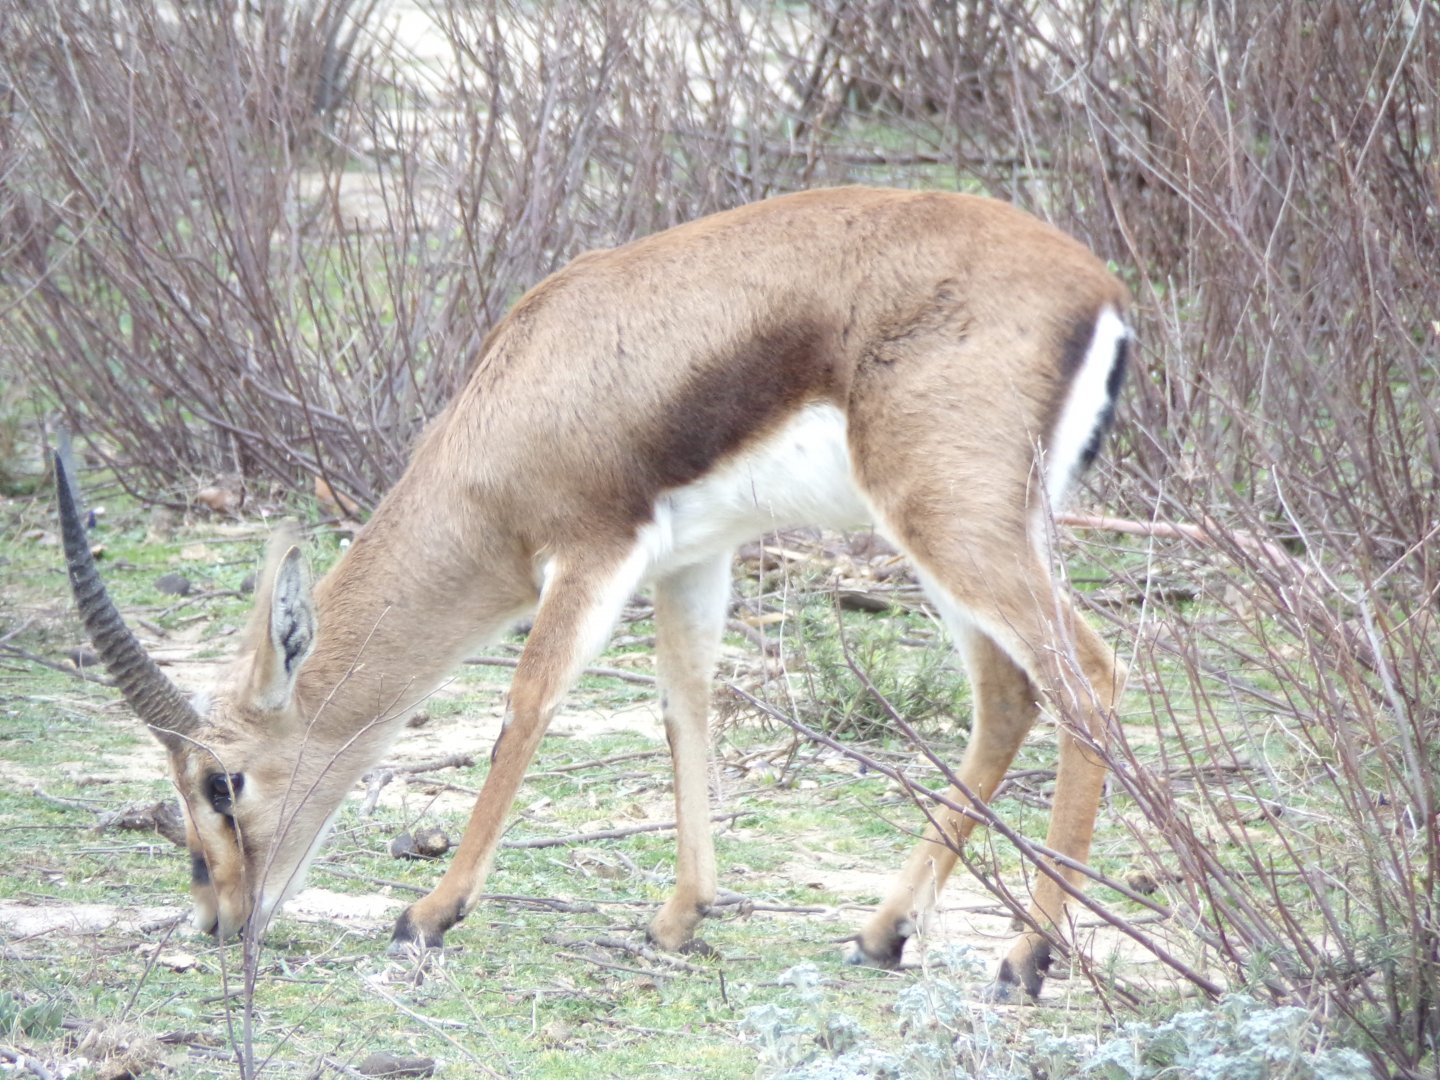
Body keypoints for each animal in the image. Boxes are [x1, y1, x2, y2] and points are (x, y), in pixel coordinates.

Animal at [58, 186, 1130, 1000]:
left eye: (221, 782)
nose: (217, 915)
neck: (518, 400)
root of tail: (1101, 291)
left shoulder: (589, 553)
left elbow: (527, 706)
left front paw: (428, 915)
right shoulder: (691, 561)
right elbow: (684, 706)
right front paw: (679, 919)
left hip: (949, 527)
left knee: (1090, 680)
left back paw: (1025, 960)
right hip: (960, 539)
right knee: (1009, 696)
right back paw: (883, 933)